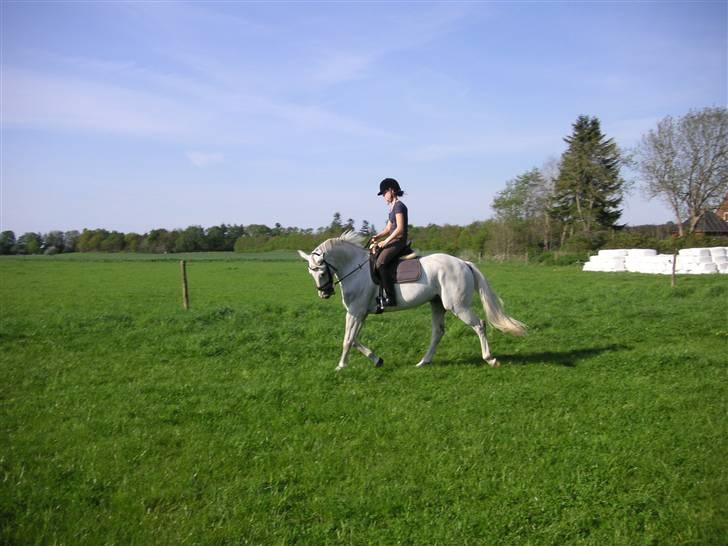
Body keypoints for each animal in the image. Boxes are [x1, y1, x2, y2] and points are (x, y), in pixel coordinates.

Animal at [298, 230, 528, 370]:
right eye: (310, 273)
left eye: (321, 272)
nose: (324, 293)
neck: (355, 268)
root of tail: (464, 263)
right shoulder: (360, 314)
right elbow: (353, 339)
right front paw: (377, 360)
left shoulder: (355, 312)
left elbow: (347, 339)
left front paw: (341, 366)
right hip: (437, 304)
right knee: (438, 332)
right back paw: (423, 362)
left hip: (457, 306)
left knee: (479, 325)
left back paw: (490, 359)